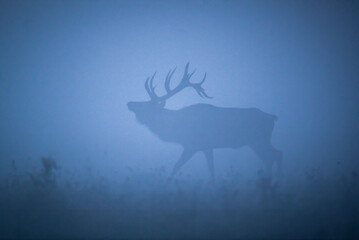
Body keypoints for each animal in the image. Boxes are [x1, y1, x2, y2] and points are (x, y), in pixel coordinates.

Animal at [128, 62, 282, 181]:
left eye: (148, 105)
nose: (129, 103)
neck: (178, 127)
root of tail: (272, 117)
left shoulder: (194, 145)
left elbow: (177, 166)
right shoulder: (206, 147)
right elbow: (211, 169)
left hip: (259, 140)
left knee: (272, 156)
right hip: (257, 142)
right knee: (275, 154)